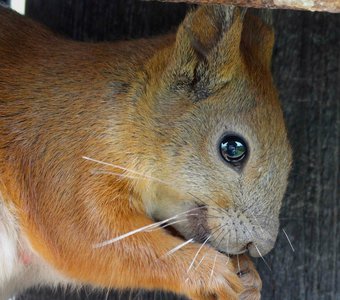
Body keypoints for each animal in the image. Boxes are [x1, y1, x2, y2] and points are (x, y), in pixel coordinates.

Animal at [0, 4, 292, 300]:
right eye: (233, 148)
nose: (260, 246)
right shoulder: (60, 163)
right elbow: (85, 237)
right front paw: (210, 272)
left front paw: (250, 278)